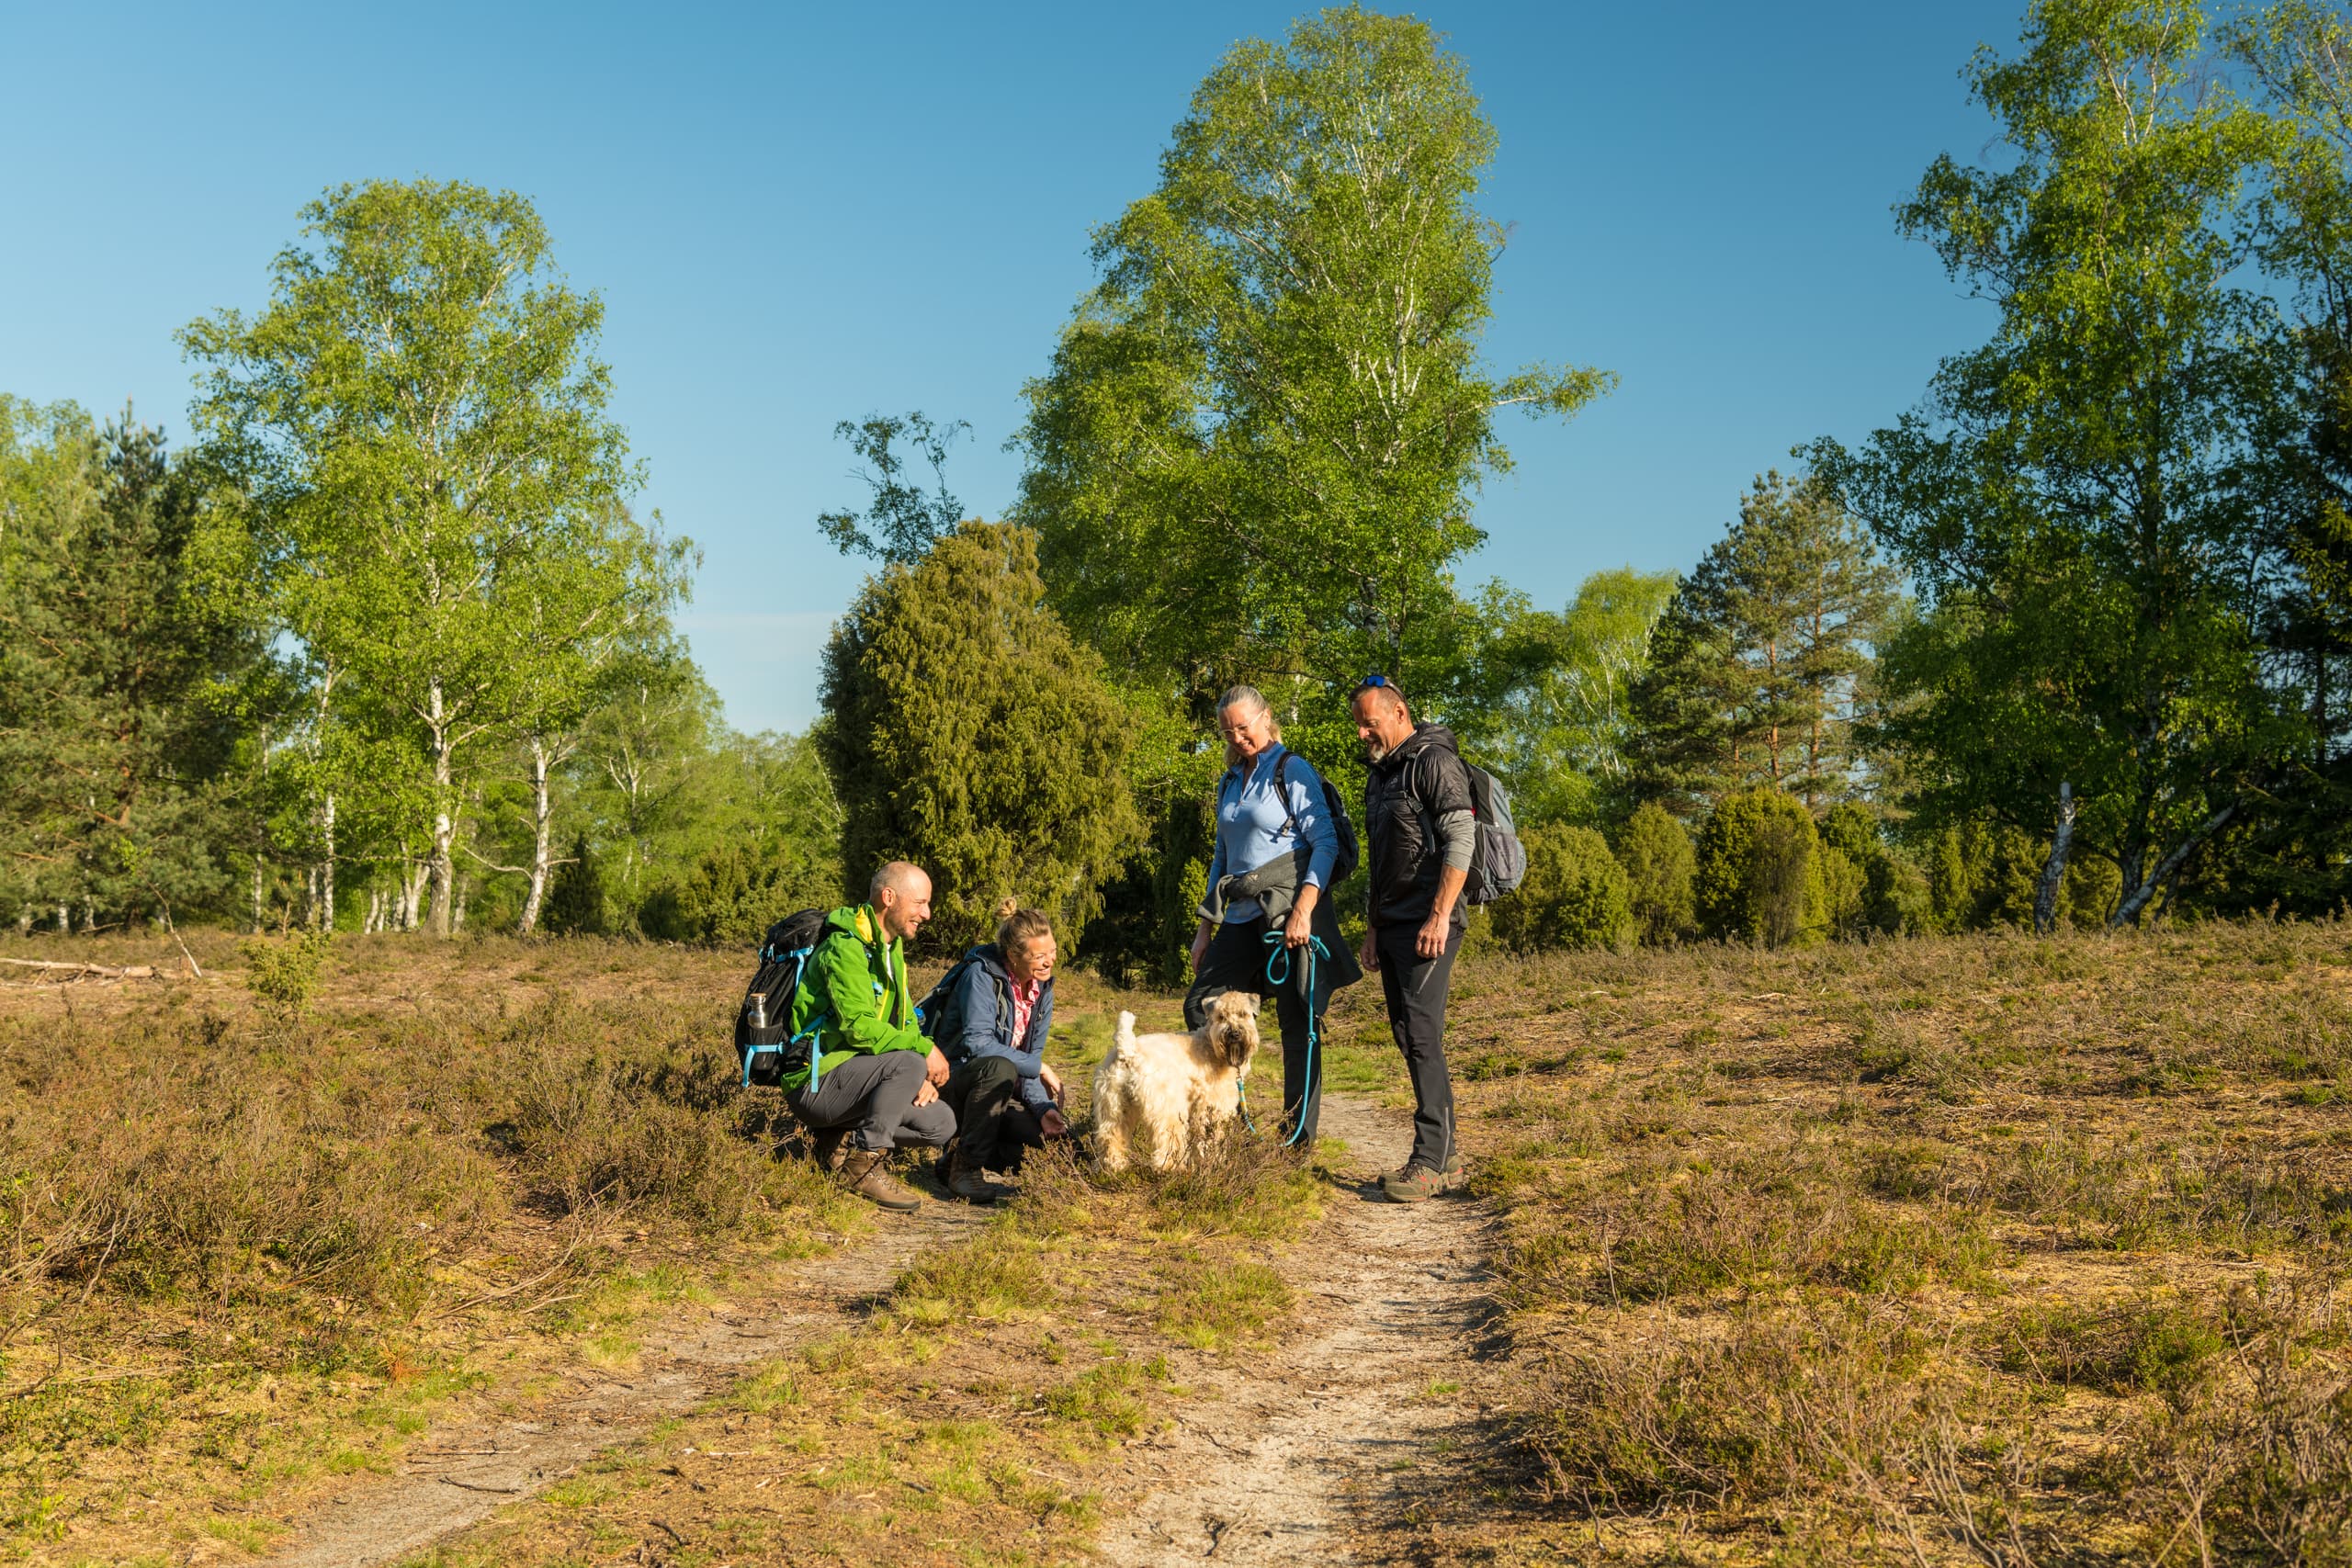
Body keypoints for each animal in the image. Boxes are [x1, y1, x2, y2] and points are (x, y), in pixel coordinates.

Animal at [1091, 991, 1261, 1166]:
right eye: (1221, 1016)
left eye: (1243, 1014)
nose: (1234, 1034)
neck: (1211, 1047)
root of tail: (1128, 1051)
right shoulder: (1213, 1107)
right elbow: (1212, 1137)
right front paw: (1213, 1160)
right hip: (1167, 1111)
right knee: (1167, 1145)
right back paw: (1174, 1168)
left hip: (1114, 1109)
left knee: (1111, 1140)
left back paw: (1114, 1167)